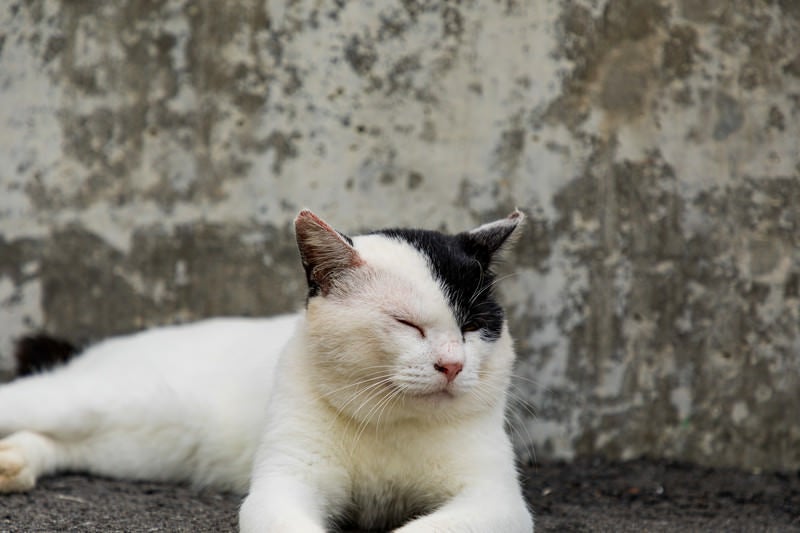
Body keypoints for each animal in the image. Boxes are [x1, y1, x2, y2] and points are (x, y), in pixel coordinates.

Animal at [3, 210, 536, 528]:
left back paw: (13, 464)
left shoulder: (494, 500)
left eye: (473, 326)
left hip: (133, 447)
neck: (391, 424)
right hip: (92, 402)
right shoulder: (285, 483)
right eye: (407, 324)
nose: (453, 364)